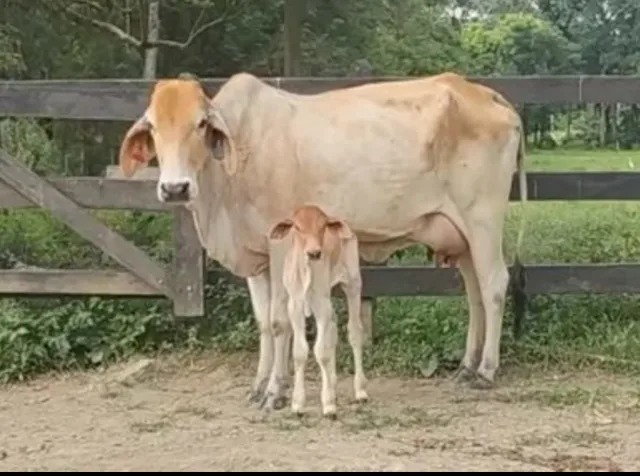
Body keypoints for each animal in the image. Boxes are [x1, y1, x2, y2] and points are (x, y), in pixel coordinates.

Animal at [268, 204, 367, 417]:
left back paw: (360, 390)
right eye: (297, 227)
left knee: (354, 331)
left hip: (353, 283)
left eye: (323, 226)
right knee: (333, 329)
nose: (314, 252)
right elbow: (300, 352)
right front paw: (298, 403)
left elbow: (321, 351)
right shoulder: (295, 306)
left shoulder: (322, 304)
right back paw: (333, 385)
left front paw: (328, 404)